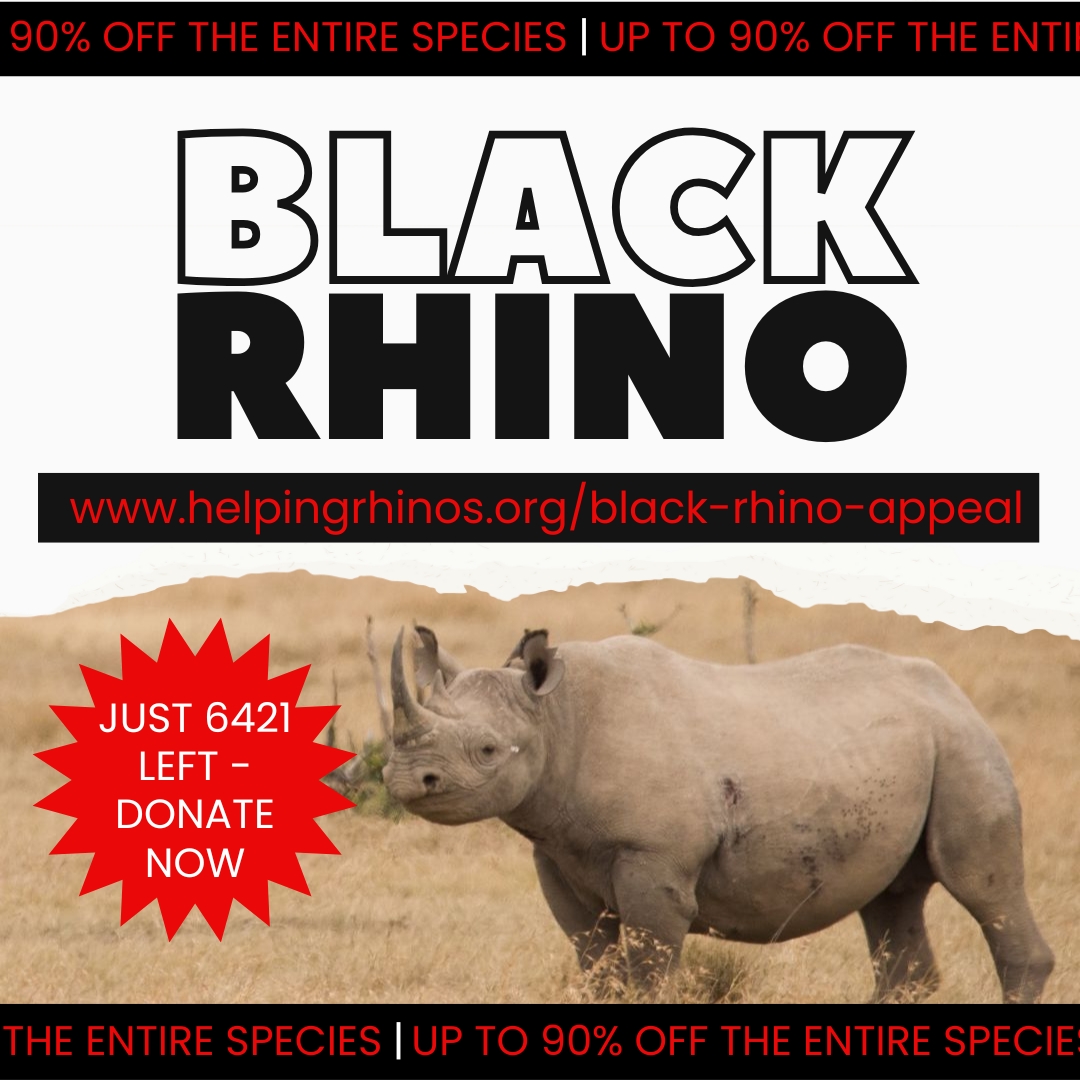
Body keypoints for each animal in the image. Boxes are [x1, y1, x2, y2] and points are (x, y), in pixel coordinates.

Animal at [381, 626, 1054, 1003]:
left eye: (488, 751)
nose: (405, 779)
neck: (556, 717)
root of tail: (955, 694)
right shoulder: (557, 854)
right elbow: (595, 964)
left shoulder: (654, 858)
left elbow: (648, 970)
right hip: (920, 749)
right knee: (892, 902)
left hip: (965, 748)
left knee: (981, 887)